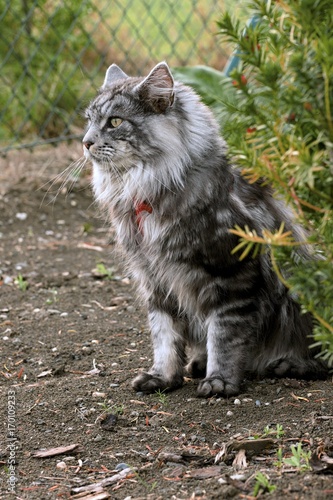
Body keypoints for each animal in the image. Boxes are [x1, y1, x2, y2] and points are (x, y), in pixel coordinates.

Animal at [81, 61, 326, 398]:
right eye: (89, 122)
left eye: (115, 121)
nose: (85, 142)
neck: (145, 189)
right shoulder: (155, 280)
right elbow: (165, 337)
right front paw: (162, 377)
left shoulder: (231, 275)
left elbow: (224, 335)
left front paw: (219, 381)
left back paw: (288, 364)